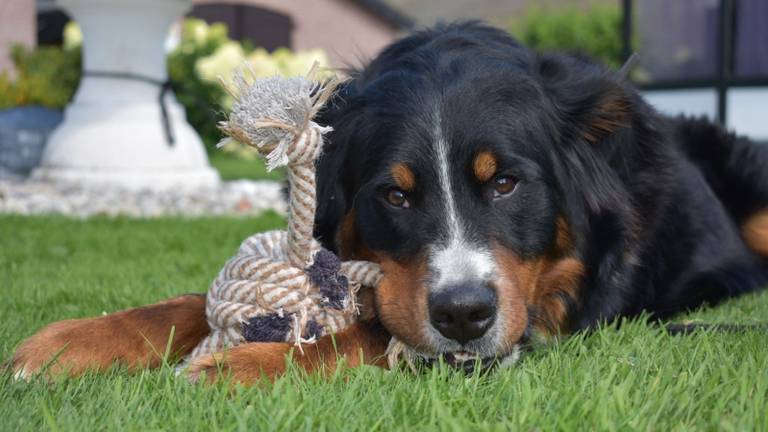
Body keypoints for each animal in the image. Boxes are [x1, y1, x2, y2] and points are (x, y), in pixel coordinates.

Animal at [7, 22, 768, 384]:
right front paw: (70, 342)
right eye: (396, 195)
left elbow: (377, 332)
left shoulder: (539, 314)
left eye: (505, 184)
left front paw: (246, 364)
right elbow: (190, 301)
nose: (463, 315)